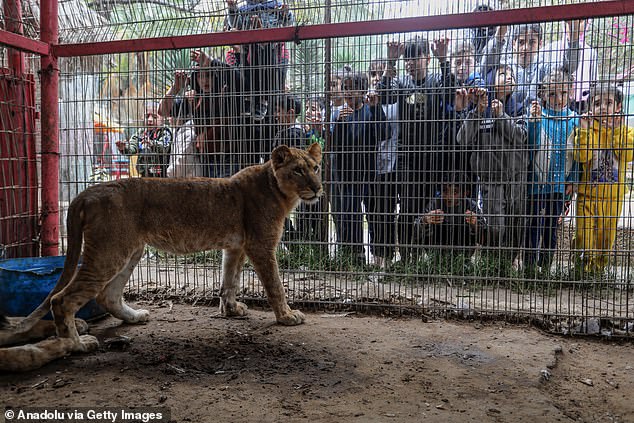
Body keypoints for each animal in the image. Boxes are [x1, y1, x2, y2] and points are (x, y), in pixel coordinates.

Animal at [1, 142, 320, 372]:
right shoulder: (261, 246)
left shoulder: (236, 247)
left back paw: (135, 317)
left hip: (130, 250)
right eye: (298, 170)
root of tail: (87, 192)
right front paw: (287, 316)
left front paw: (231, 310)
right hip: (109, 251)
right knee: (62, 299)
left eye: (316, 167)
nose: (318, 187)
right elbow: (275, 285)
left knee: (107, 295)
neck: (279, 191)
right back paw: (77, 344)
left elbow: (229, 280)